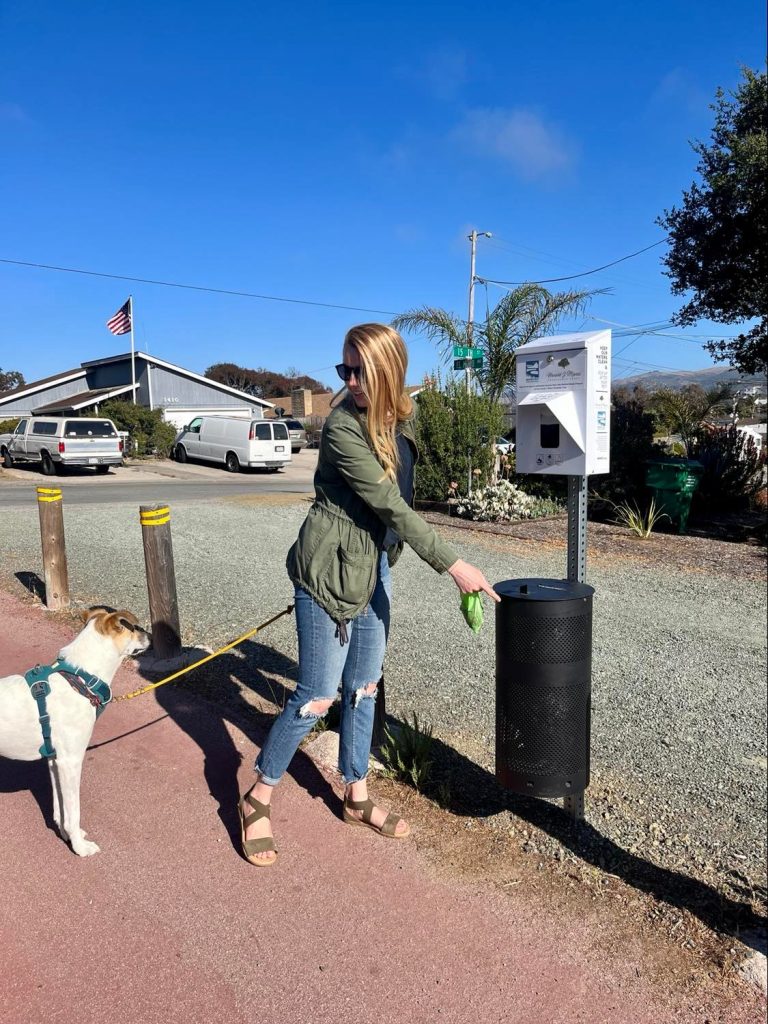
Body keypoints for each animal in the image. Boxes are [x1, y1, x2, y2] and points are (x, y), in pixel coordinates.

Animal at [0, 606, 150, 856]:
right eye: (135, 627)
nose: (149, 635)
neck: (80, 680)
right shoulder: (70, 761)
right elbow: (74, 811)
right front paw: (80, 847)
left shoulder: (54, 760)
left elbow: (60, 810)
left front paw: (68, 835)